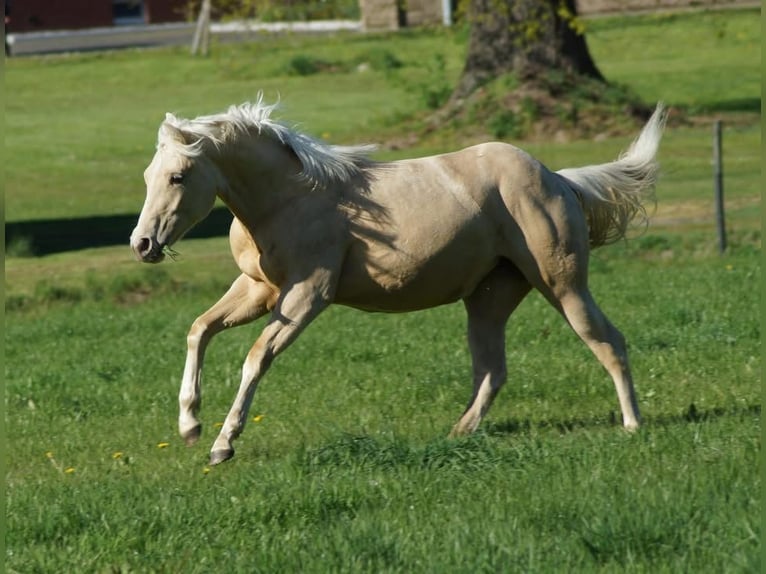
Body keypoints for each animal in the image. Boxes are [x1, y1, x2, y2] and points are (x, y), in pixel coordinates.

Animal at [130, 96, 666, 465]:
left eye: (178, 176)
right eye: (148, 175)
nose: (142, 244)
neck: (288, 199)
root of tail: (559, 179)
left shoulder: (308, 293)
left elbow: (256, 357)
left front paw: (222, 444)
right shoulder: (258, 290)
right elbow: (199, 330)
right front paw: (190, 425)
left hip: (563, 285)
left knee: (607, 341)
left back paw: (633, 425)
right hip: (488, 299)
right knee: (492, 370)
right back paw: (458, 433)